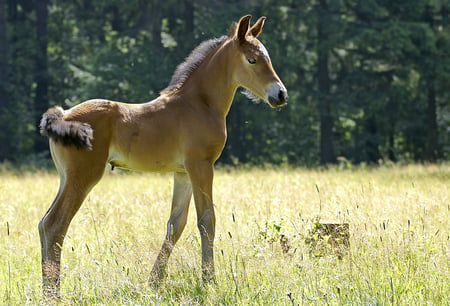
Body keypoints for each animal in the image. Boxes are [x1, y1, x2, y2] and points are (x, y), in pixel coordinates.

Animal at [38, 14, 286, 292]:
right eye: (252, 59)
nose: (280, 94)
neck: (198, 105)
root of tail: (62, 115)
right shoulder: (201, 165)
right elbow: (206, 221)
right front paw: (209, 280)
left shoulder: (183, 172)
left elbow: (176, 224)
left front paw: (154, 281)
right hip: (83, 176)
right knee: (55, 225)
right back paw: (53, 292)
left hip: (66, 178)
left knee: (44, 223)